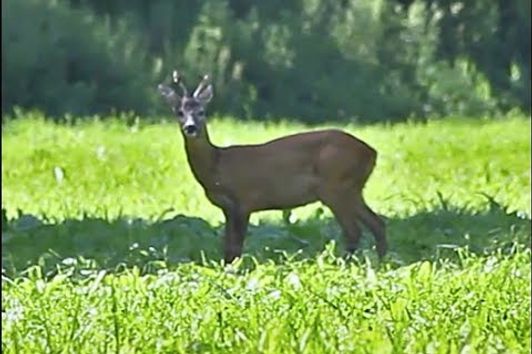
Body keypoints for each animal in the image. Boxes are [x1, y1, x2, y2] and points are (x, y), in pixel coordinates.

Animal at [158, 70, 386, 262]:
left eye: (202, 111)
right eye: (179, 112)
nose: (191, 127)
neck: (217, 167)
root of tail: (371, 152)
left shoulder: (244, 200)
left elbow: (236, 247)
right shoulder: (228, 208)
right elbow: (228, 247)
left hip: (335, 186)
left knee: (354, 230)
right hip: (352, 188)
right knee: (377, 222)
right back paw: (380, 262)